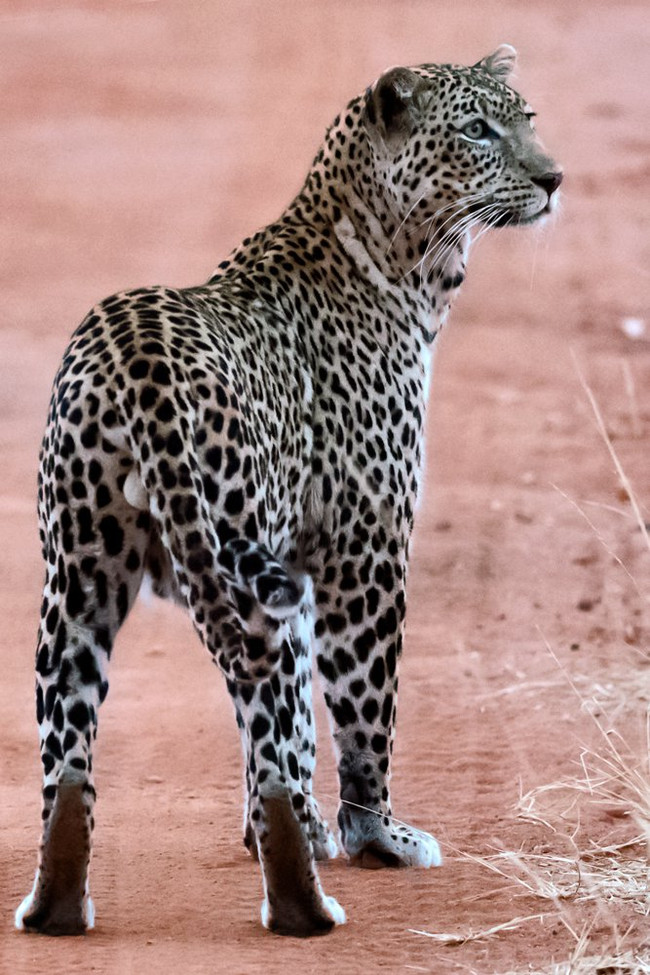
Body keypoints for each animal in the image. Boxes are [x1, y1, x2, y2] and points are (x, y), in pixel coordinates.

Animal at [17, 43, 560, 936]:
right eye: (479, 130)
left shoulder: (296, 555)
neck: (406, 265)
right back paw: (302, 900)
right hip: (225, 548)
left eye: (527, 118)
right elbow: (361, 705)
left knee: (70, 750)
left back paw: (58, 903)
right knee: (269, 705)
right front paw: (374, 835)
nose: (554, 177)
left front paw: (308, 825)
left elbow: (305, 714)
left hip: (82, 571)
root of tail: (134, 344)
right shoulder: (364, 549)